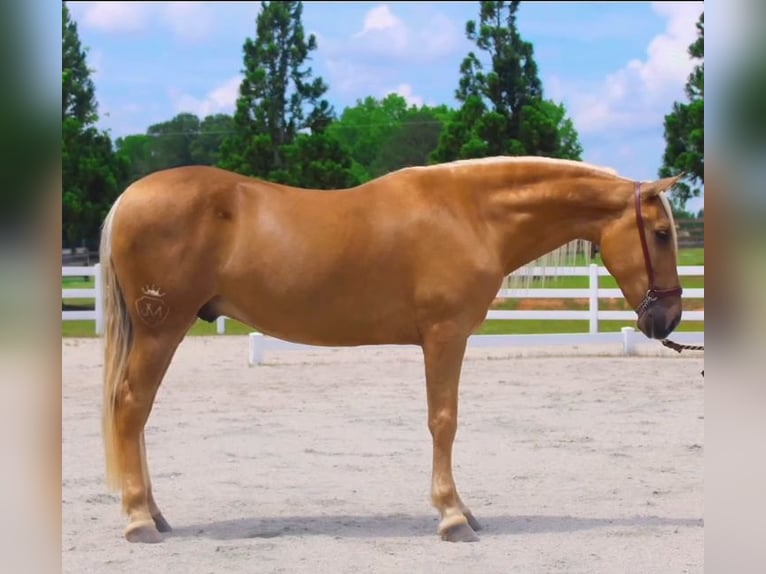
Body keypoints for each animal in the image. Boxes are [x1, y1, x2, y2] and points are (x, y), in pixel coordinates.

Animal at [98, 156, 683, 544]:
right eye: (660, 233)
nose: (669, 318)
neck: (470, 214)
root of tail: (129, 198)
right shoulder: (446, 336)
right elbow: (443, 420)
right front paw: (452, 516)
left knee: (136, 413)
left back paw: (154, 514)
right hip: (162, 330)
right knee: (131, 407)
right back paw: (139, 520)